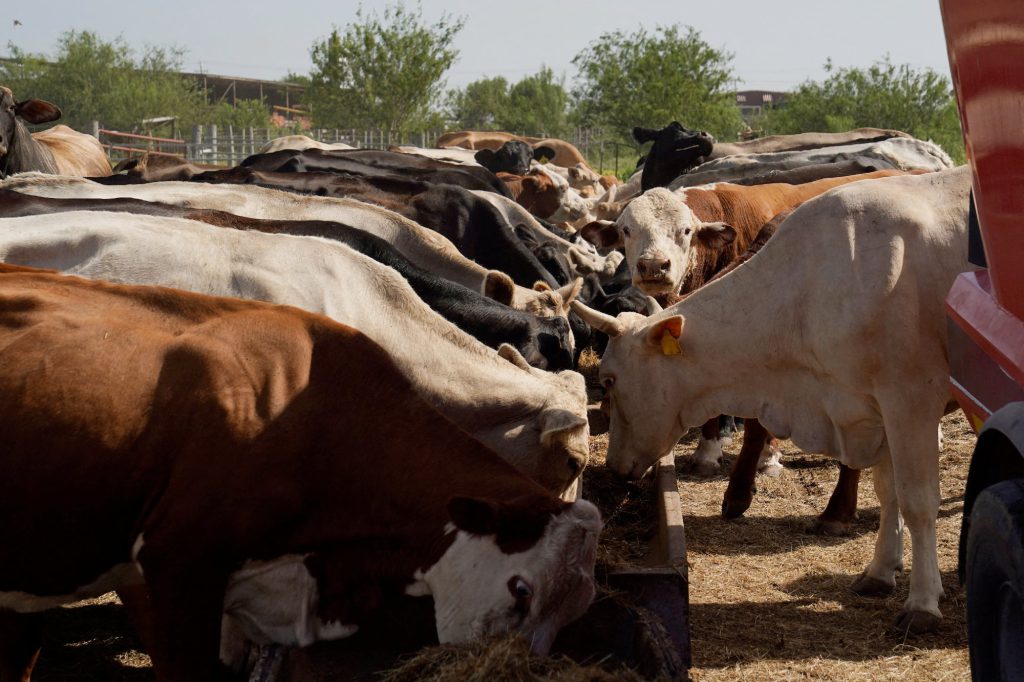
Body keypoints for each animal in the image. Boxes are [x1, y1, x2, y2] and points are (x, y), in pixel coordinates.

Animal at [573, 166, 973, 633]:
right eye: (625, 230)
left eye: (610, 380)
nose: (614, 468)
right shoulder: (870, 409)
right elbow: (888, 492)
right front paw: (879, 570)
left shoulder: (909, 401)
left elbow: (918, 501)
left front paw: (923, 601)